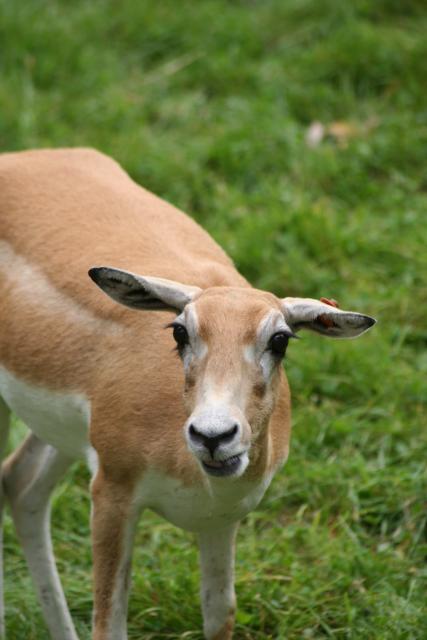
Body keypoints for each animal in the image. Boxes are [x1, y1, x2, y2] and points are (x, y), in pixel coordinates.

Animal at [0, 149, 374, 640]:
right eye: (179, 330)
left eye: (280, 339)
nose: (213, 435)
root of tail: (21, 159)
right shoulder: (112, 492)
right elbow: (108, 625)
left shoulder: (221, 520)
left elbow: (220, 614)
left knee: (20, 483)